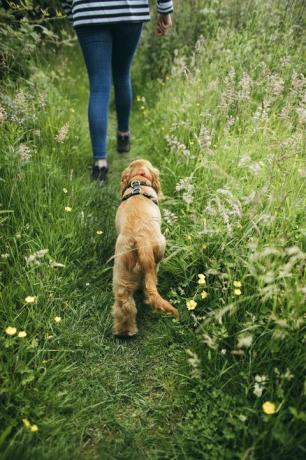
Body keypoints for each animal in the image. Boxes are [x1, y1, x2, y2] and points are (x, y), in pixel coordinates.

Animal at [112, 160, 178, 336]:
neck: (138, 181)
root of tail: (140, 241)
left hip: (122, 272)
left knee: (125, 304)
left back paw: (125, 331)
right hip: (160, 247)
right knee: (150, 283)